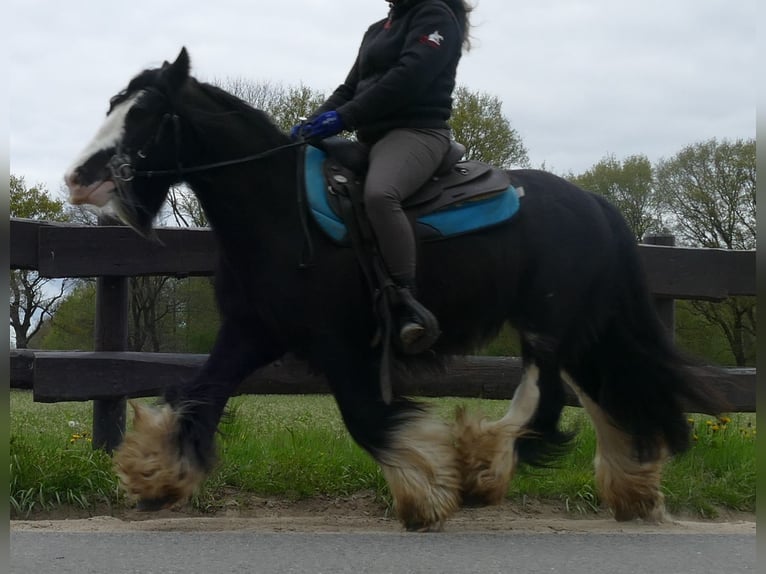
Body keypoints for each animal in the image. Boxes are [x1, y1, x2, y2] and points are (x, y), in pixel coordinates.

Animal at [63, 48, 724, 532]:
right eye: (113, 104)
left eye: (146, 113)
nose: (77, 177)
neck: (279, 210)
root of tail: (594, 204)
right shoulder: (251, 331)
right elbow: (201, 394)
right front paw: (154, 476)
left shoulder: (339, 344)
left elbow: (368, 419)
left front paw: (428, 490)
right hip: (577, 327)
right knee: (601, 393)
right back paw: (632, 487)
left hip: (548, 321)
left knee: (546, 395)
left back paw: (485, 467)